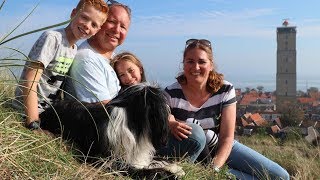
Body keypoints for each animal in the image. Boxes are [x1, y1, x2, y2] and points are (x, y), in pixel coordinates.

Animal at [39, 83, 184, 179]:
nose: (170, 113)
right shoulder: (107, 160)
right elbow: (142, 170)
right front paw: (169, 174)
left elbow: (157, 159)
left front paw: (174, 167)